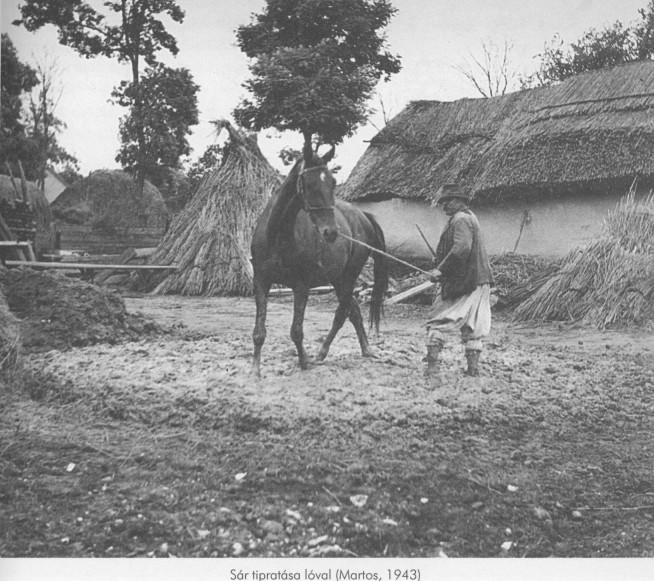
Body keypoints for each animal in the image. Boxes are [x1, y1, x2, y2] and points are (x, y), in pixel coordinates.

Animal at [251, 142, 390, 374]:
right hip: (338, 279)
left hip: (349, 276)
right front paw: (255, 370)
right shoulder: (261, 281)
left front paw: (304, 362)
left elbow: (296, 330)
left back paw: (322, 353)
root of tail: (362, 216)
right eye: (308, 183)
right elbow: (259, 332)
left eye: (333, 182)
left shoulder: (301, 285)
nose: (331, 232)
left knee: (342, 313)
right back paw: (366, 349)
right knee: (354, 311)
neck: (277, 236)